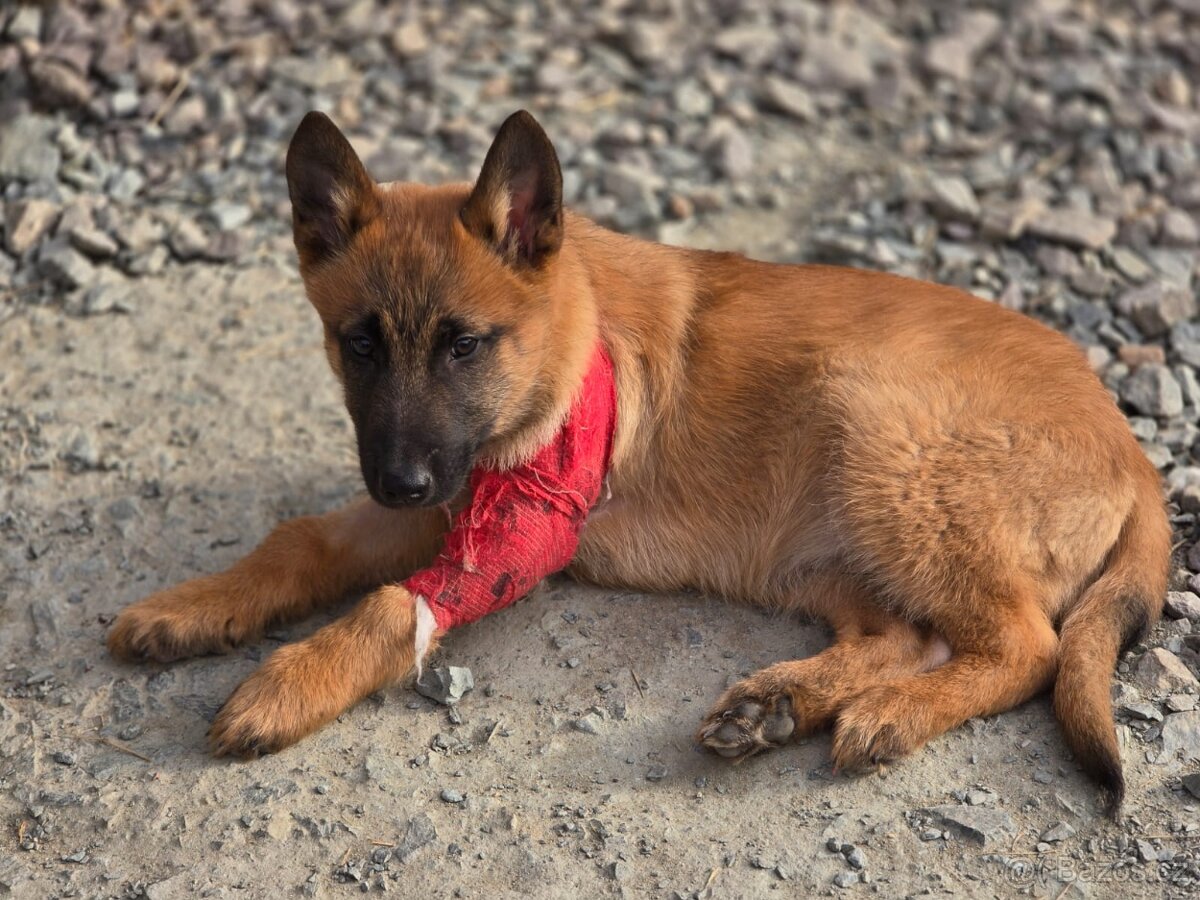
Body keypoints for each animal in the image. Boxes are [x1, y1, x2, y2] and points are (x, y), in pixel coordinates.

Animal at [105, 109, 1171, 816]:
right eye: (358, 343)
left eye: (464, 346)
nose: (400, 481)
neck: (566, 342)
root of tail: (1136, 453)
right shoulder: (446, 502)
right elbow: (299, 543)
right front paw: (192, 607)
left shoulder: (513, 532)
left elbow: (381, 608)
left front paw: (284, 685)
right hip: (828, 535)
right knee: (910, 635)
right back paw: (783, 703)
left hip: (879, 431)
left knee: (1028, 647)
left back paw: (891, 717)